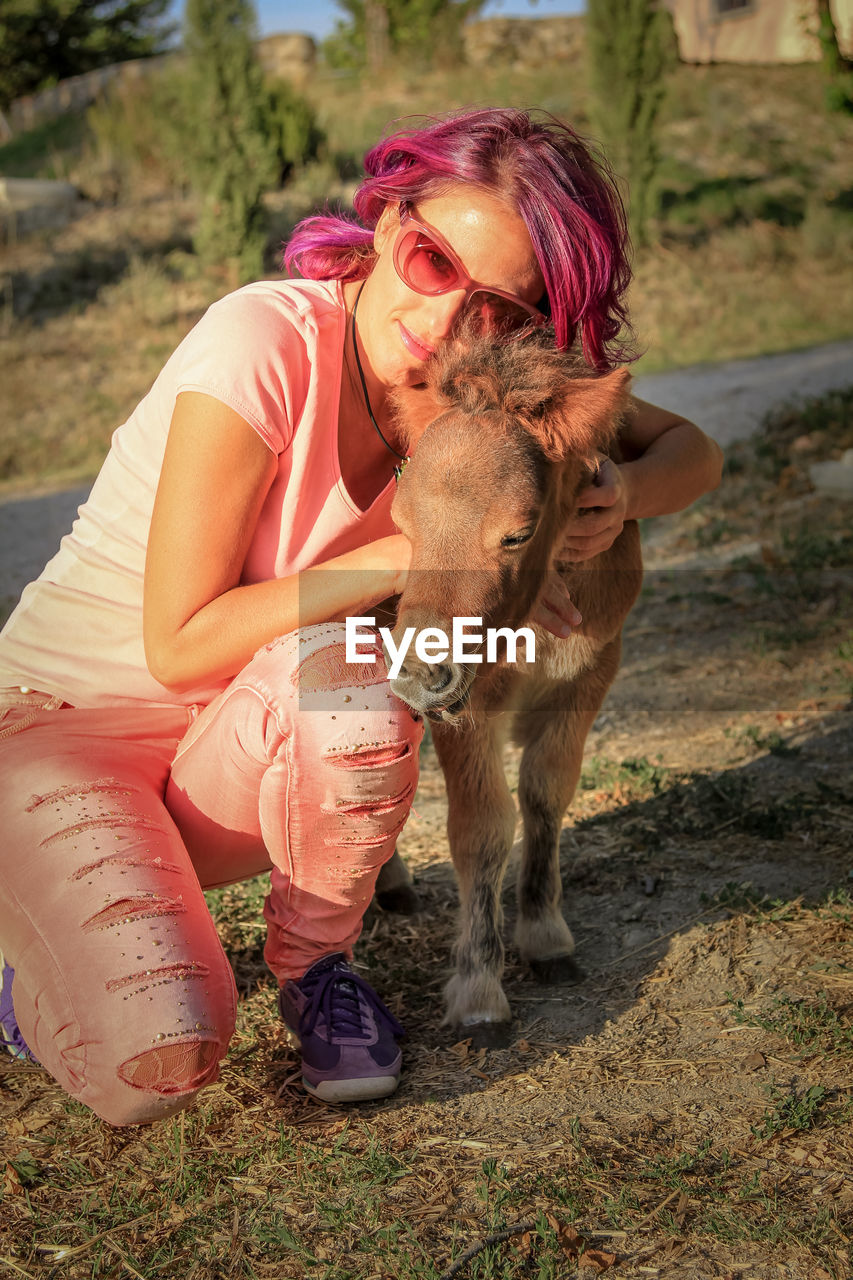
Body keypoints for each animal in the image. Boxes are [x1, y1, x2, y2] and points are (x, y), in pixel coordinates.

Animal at [381, 327, 640, 1039]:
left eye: (517, 533)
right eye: (400, 525)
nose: (418, 676)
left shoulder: (591, 675)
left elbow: (547, 793)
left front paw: (545, 937)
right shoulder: (467, 710)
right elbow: (481, 828)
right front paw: (479, 988)